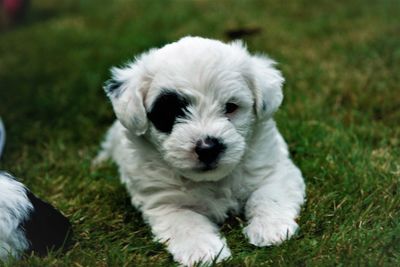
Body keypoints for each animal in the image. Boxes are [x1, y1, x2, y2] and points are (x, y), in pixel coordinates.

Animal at [94, 36, 306, 266]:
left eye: (231, 107)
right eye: (171, 112)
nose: (208, 148)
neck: (214, 180)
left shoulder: (274, 168)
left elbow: (267, 194)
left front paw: (271, 229)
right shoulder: (165, 201)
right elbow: (186, 222)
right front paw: (203, 251)